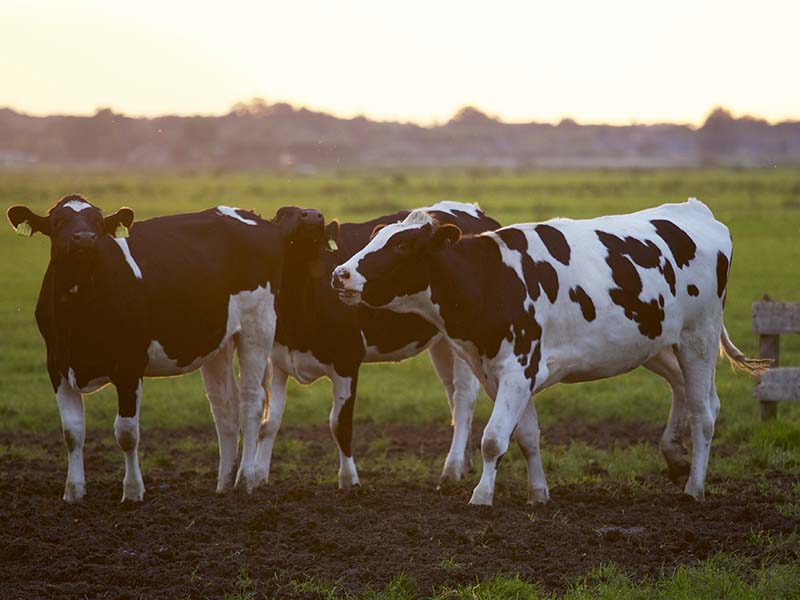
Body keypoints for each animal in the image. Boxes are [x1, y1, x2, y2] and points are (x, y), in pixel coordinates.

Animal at [7, 196, 324, 502]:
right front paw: (73, 492)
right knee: (224, 406)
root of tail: (257, 218)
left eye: (97, 222)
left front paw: (133, 491)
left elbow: (126, 432)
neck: (79, 312)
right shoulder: (57, 366)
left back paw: (244, 480)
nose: (84, 239)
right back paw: (223, 484)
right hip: (218, 341)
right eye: (58, 222)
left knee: (251, 401)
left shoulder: (129, 366)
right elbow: (72, 431)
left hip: (257, 327)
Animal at [253, 202, 496, 488]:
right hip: (444, 343)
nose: (313, 215)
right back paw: (464, 462)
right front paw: (257, 476)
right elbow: (269, 422)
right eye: (282, 214)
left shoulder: (347, 360)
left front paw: (349, 481)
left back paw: (452, 469)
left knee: (464, 397)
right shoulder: (278, 361)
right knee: (453, 397)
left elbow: (340, 424)